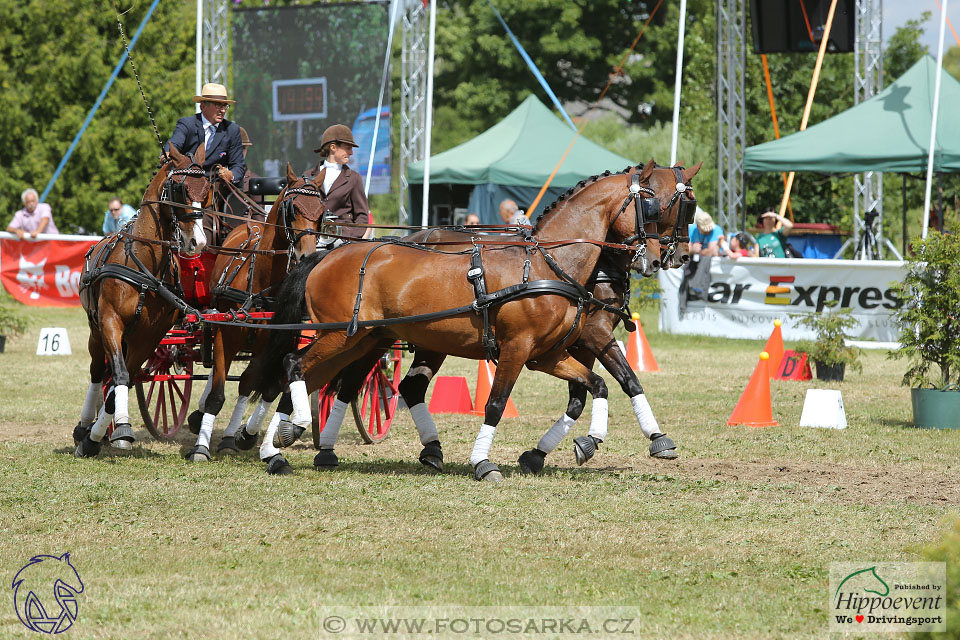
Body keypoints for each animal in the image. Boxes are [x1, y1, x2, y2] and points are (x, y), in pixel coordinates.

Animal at [73, 146, 216, 456]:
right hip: (95, 330)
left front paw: (107, 434)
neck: (143, 263)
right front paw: (113, 431)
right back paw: (84, 426)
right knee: (97, 372)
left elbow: (122, 381)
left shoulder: (148, 338)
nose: (197, 242)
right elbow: (119, 375)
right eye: (180, 189)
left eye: (208, 190)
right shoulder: (110, 322)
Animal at [182, 162, 332, 460]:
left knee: (247, 381)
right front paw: (201, 447)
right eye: (292, 208)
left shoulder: (274, 341)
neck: (260, 284)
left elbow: (262, 386)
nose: (307, 255)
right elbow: (217, 393)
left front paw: (243, 435)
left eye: (321, 211)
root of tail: (249, 223)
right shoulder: (225, 333)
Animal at [248, 160, 700, 480]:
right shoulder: (522, 349)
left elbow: (601, 386)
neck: (549, 263)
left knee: (332, 381)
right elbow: (497, 404)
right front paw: (486, 463)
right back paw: (285, 437)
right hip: (342, 335)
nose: (666, 258)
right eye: (654, 205)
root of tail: (326, 254)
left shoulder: (549, 354)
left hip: (363, 339)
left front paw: (590, 443)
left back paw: (288, 446)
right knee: (294, 368)